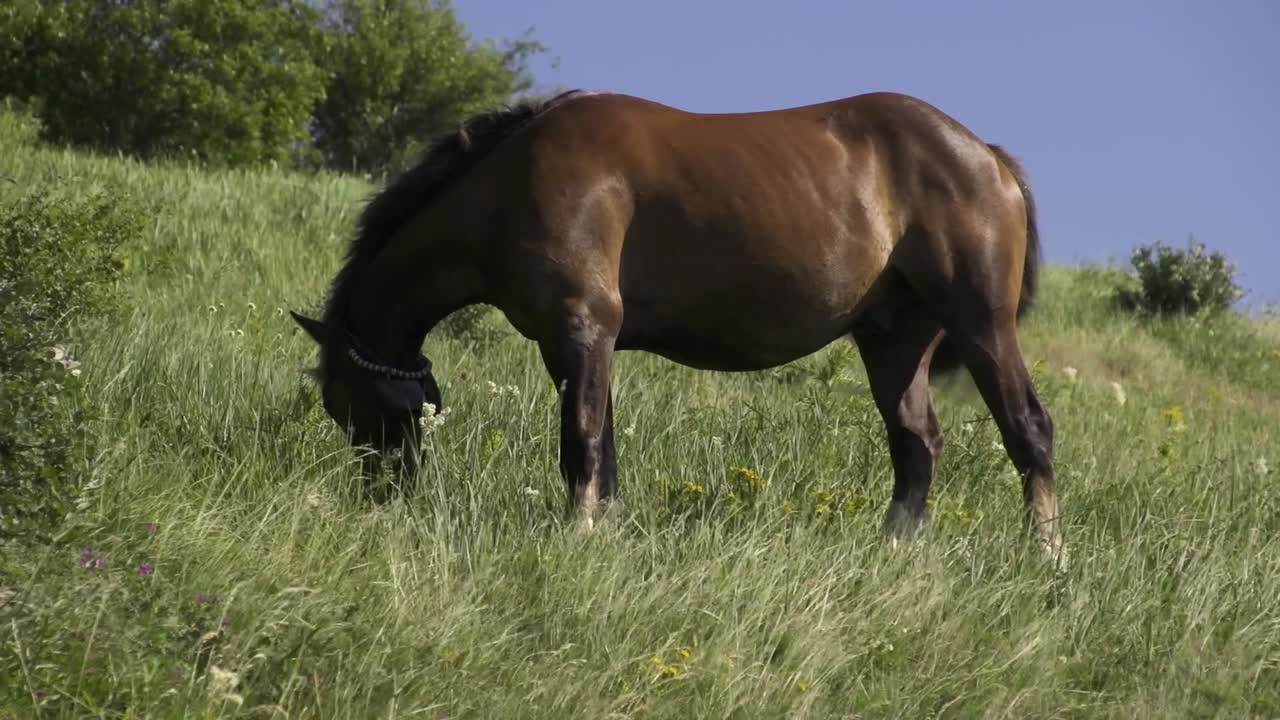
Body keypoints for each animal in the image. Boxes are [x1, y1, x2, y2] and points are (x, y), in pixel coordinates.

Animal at [290, 89, 1064, 558]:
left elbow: (582, 442)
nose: (382, 496)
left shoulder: (581, 330)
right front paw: (603, 534)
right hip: (893, 339)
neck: (511, 186)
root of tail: (985, 154)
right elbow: (604, 452)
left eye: (347, 406)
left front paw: (578, 537)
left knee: (1028, 429)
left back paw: (1046, 558)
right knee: (917, 444)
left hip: (981, 323)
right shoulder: (579, 347)